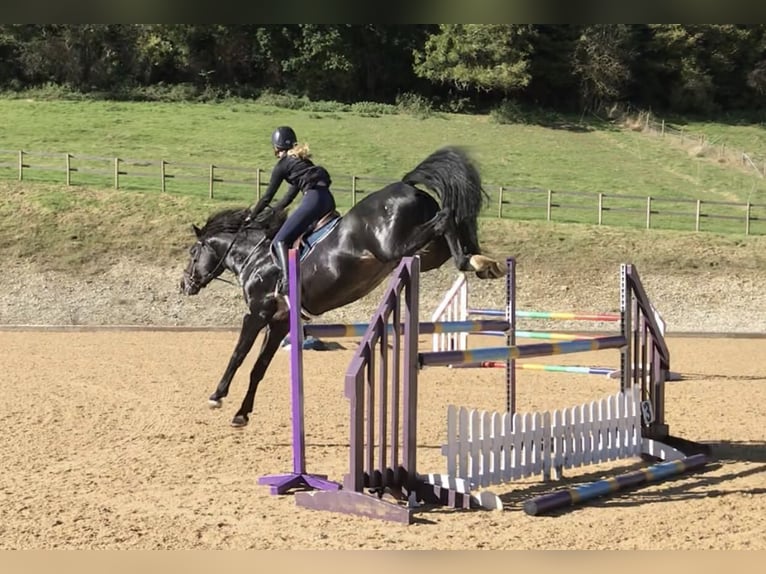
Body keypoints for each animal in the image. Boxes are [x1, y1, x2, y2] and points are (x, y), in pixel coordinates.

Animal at [180, 146, 504, 430]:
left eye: (193, 253)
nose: (185, 285)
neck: (255, 257)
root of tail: (407, 186)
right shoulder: (280, 323)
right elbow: (258, 368)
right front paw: (241, 414)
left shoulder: (258, 314)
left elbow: (237, 356)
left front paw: (217, 397)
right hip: (425, 255)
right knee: (450, 229)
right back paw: (479, 262)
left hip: (394, 247)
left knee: (445, 218)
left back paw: (475, 260)